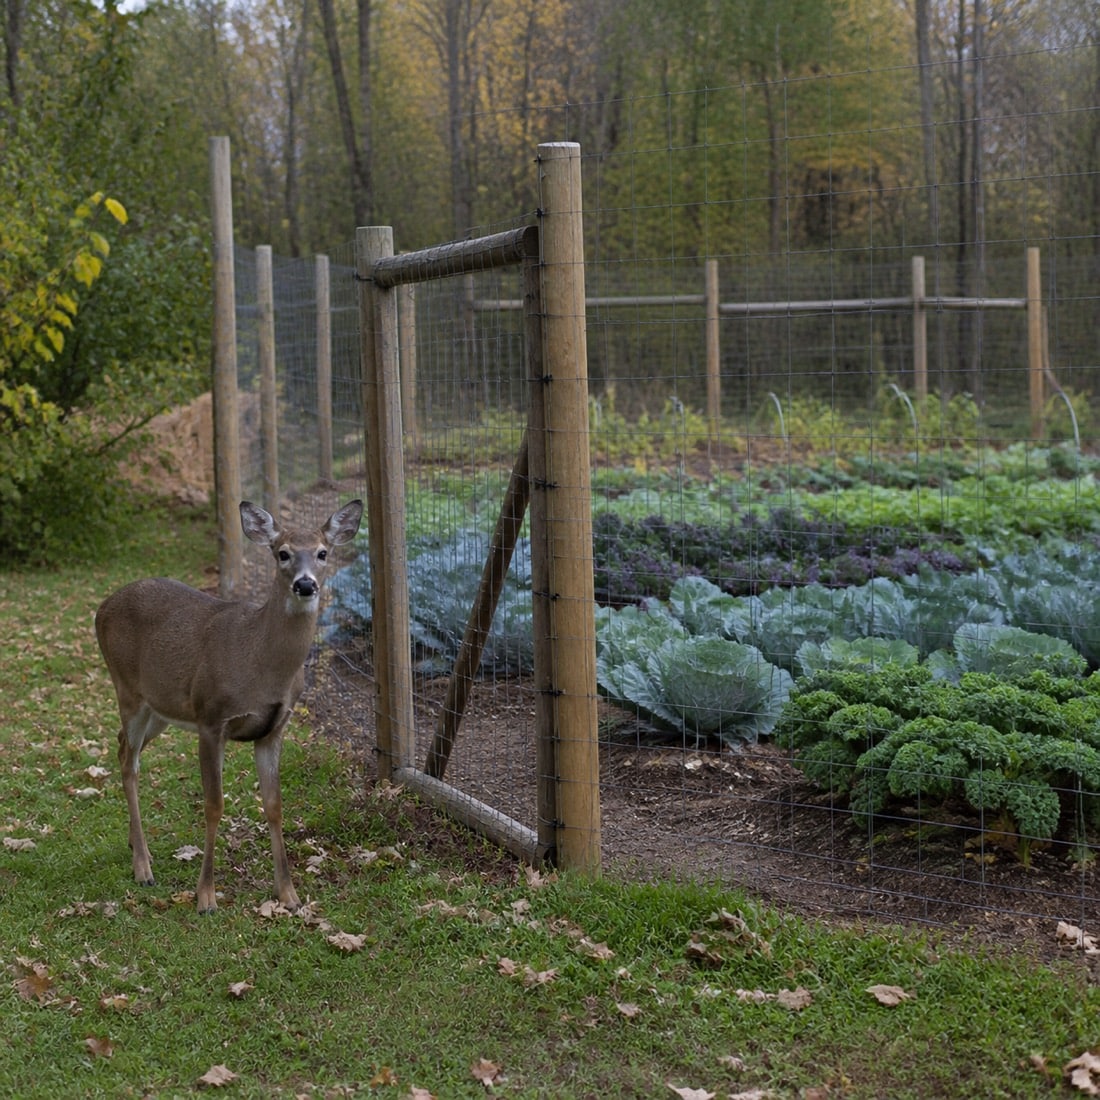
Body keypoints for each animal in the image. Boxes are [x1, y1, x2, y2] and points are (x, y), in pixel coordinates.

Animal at [94, 499, 364, 914]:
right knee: (129, 761)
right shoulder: (211, 718)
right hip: (128, 690)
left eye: (323, 552)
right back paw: (143, 867)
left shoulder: (274, 728)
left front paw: (289, 894)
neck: (261, 665)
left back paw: (134, 845)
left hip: (161, 707)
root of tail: (101, 608)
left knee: (122, 744)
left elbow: (274, 805)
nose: (305, 584)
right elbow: (213, 805)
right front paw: (205, 897)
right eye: (282, 553)